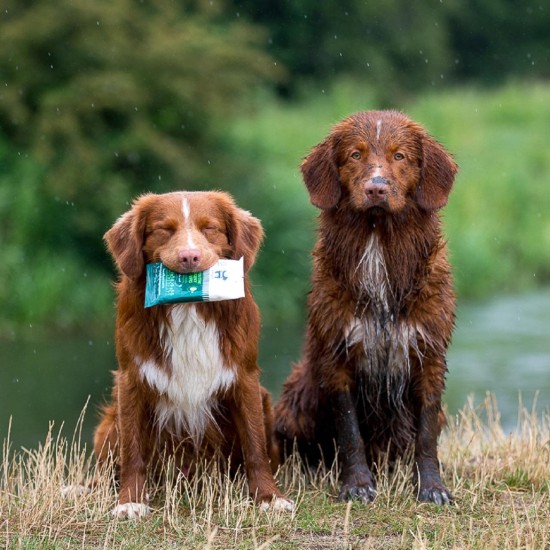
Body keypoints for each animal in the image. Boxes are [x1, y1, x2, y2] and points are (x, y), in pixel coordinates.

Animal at [96, 192, 294, 520]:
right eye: (164, 229)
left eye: (209, 228)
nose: (190, 257)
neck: (188, 307)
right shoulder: (130, 379)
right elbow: (132, 449)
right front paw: (130, 501)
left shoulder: (245, 377)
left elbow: (255, 445)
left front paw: (269, 497)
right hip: (109, 423)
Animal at [276, 110, 462, 506]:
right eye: (356, 155)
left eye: (400, 156)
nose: (376, 188)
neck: (379, 242)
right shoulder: (337, 355)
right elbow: (349, 430)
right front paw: (357, 484)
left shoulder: (429, 354)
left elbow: (426, 433)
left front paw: (432, 487)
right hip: (298, 393)